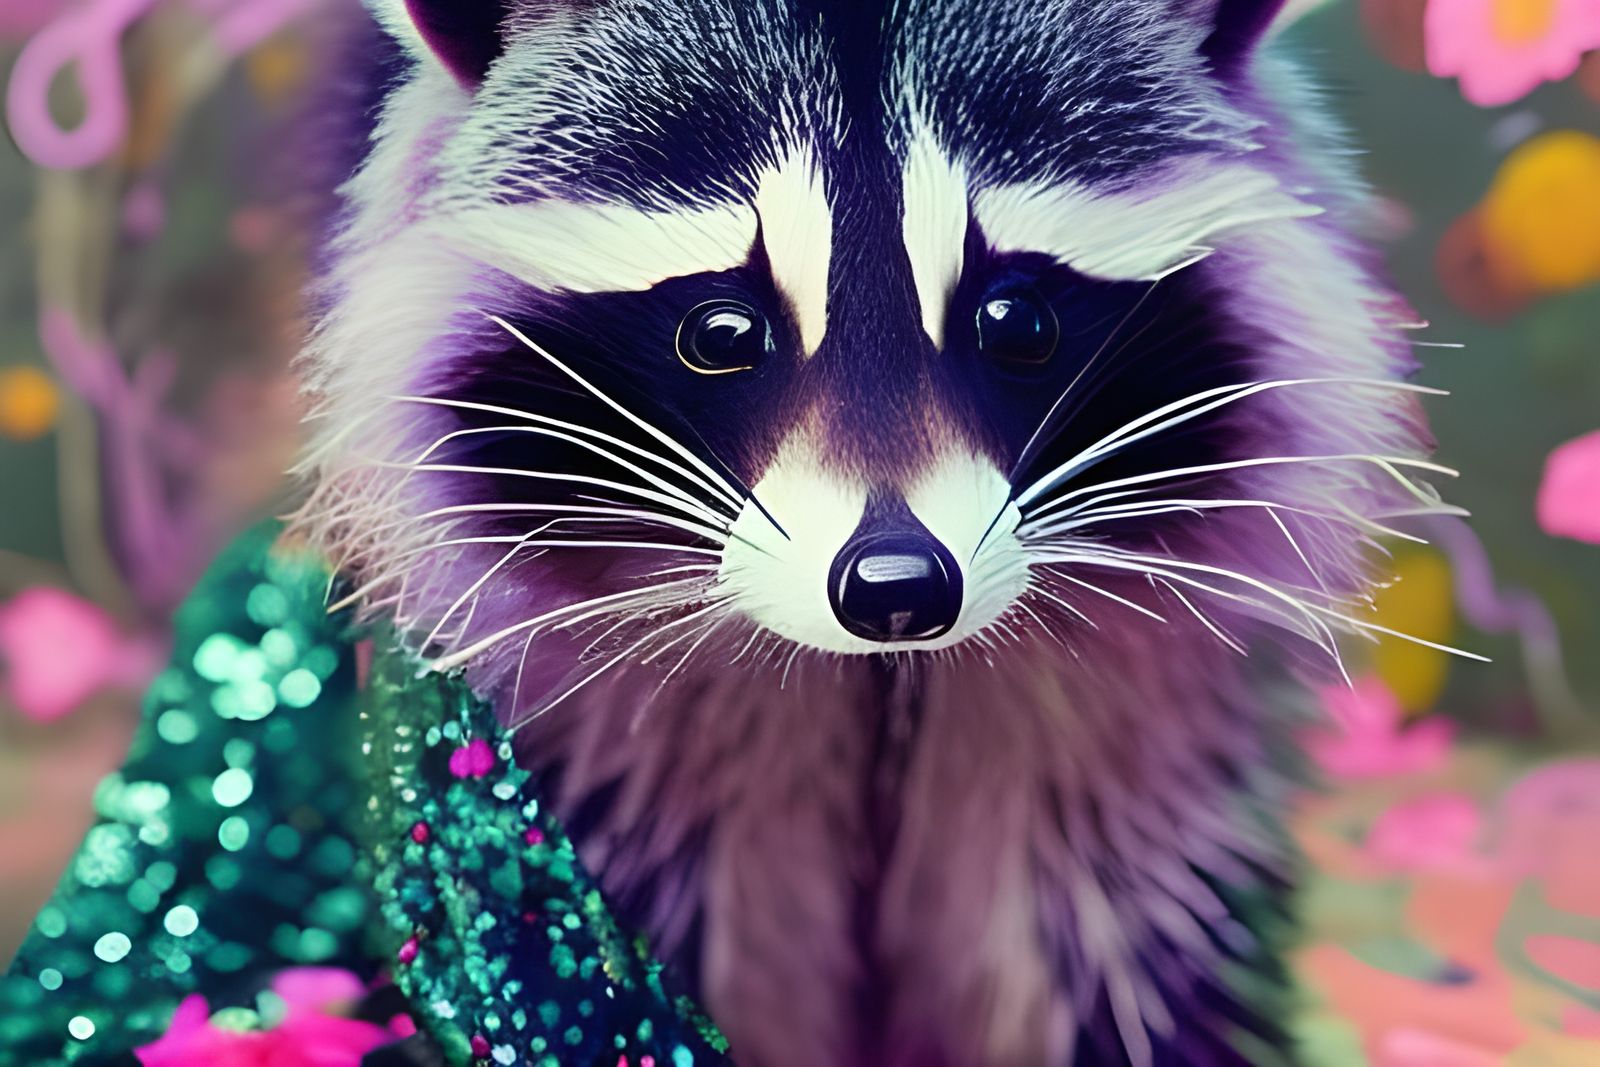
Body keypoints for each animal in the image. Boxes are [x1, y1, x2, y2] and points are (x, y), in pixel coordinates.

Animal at [298, 1, 1444, 1063]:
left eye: (1015, 319)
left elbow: (1105, 932)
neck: (878, 679)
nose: (898, 584)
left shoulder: (1131, 727)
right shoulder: (600, 739)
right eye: (722, 331)